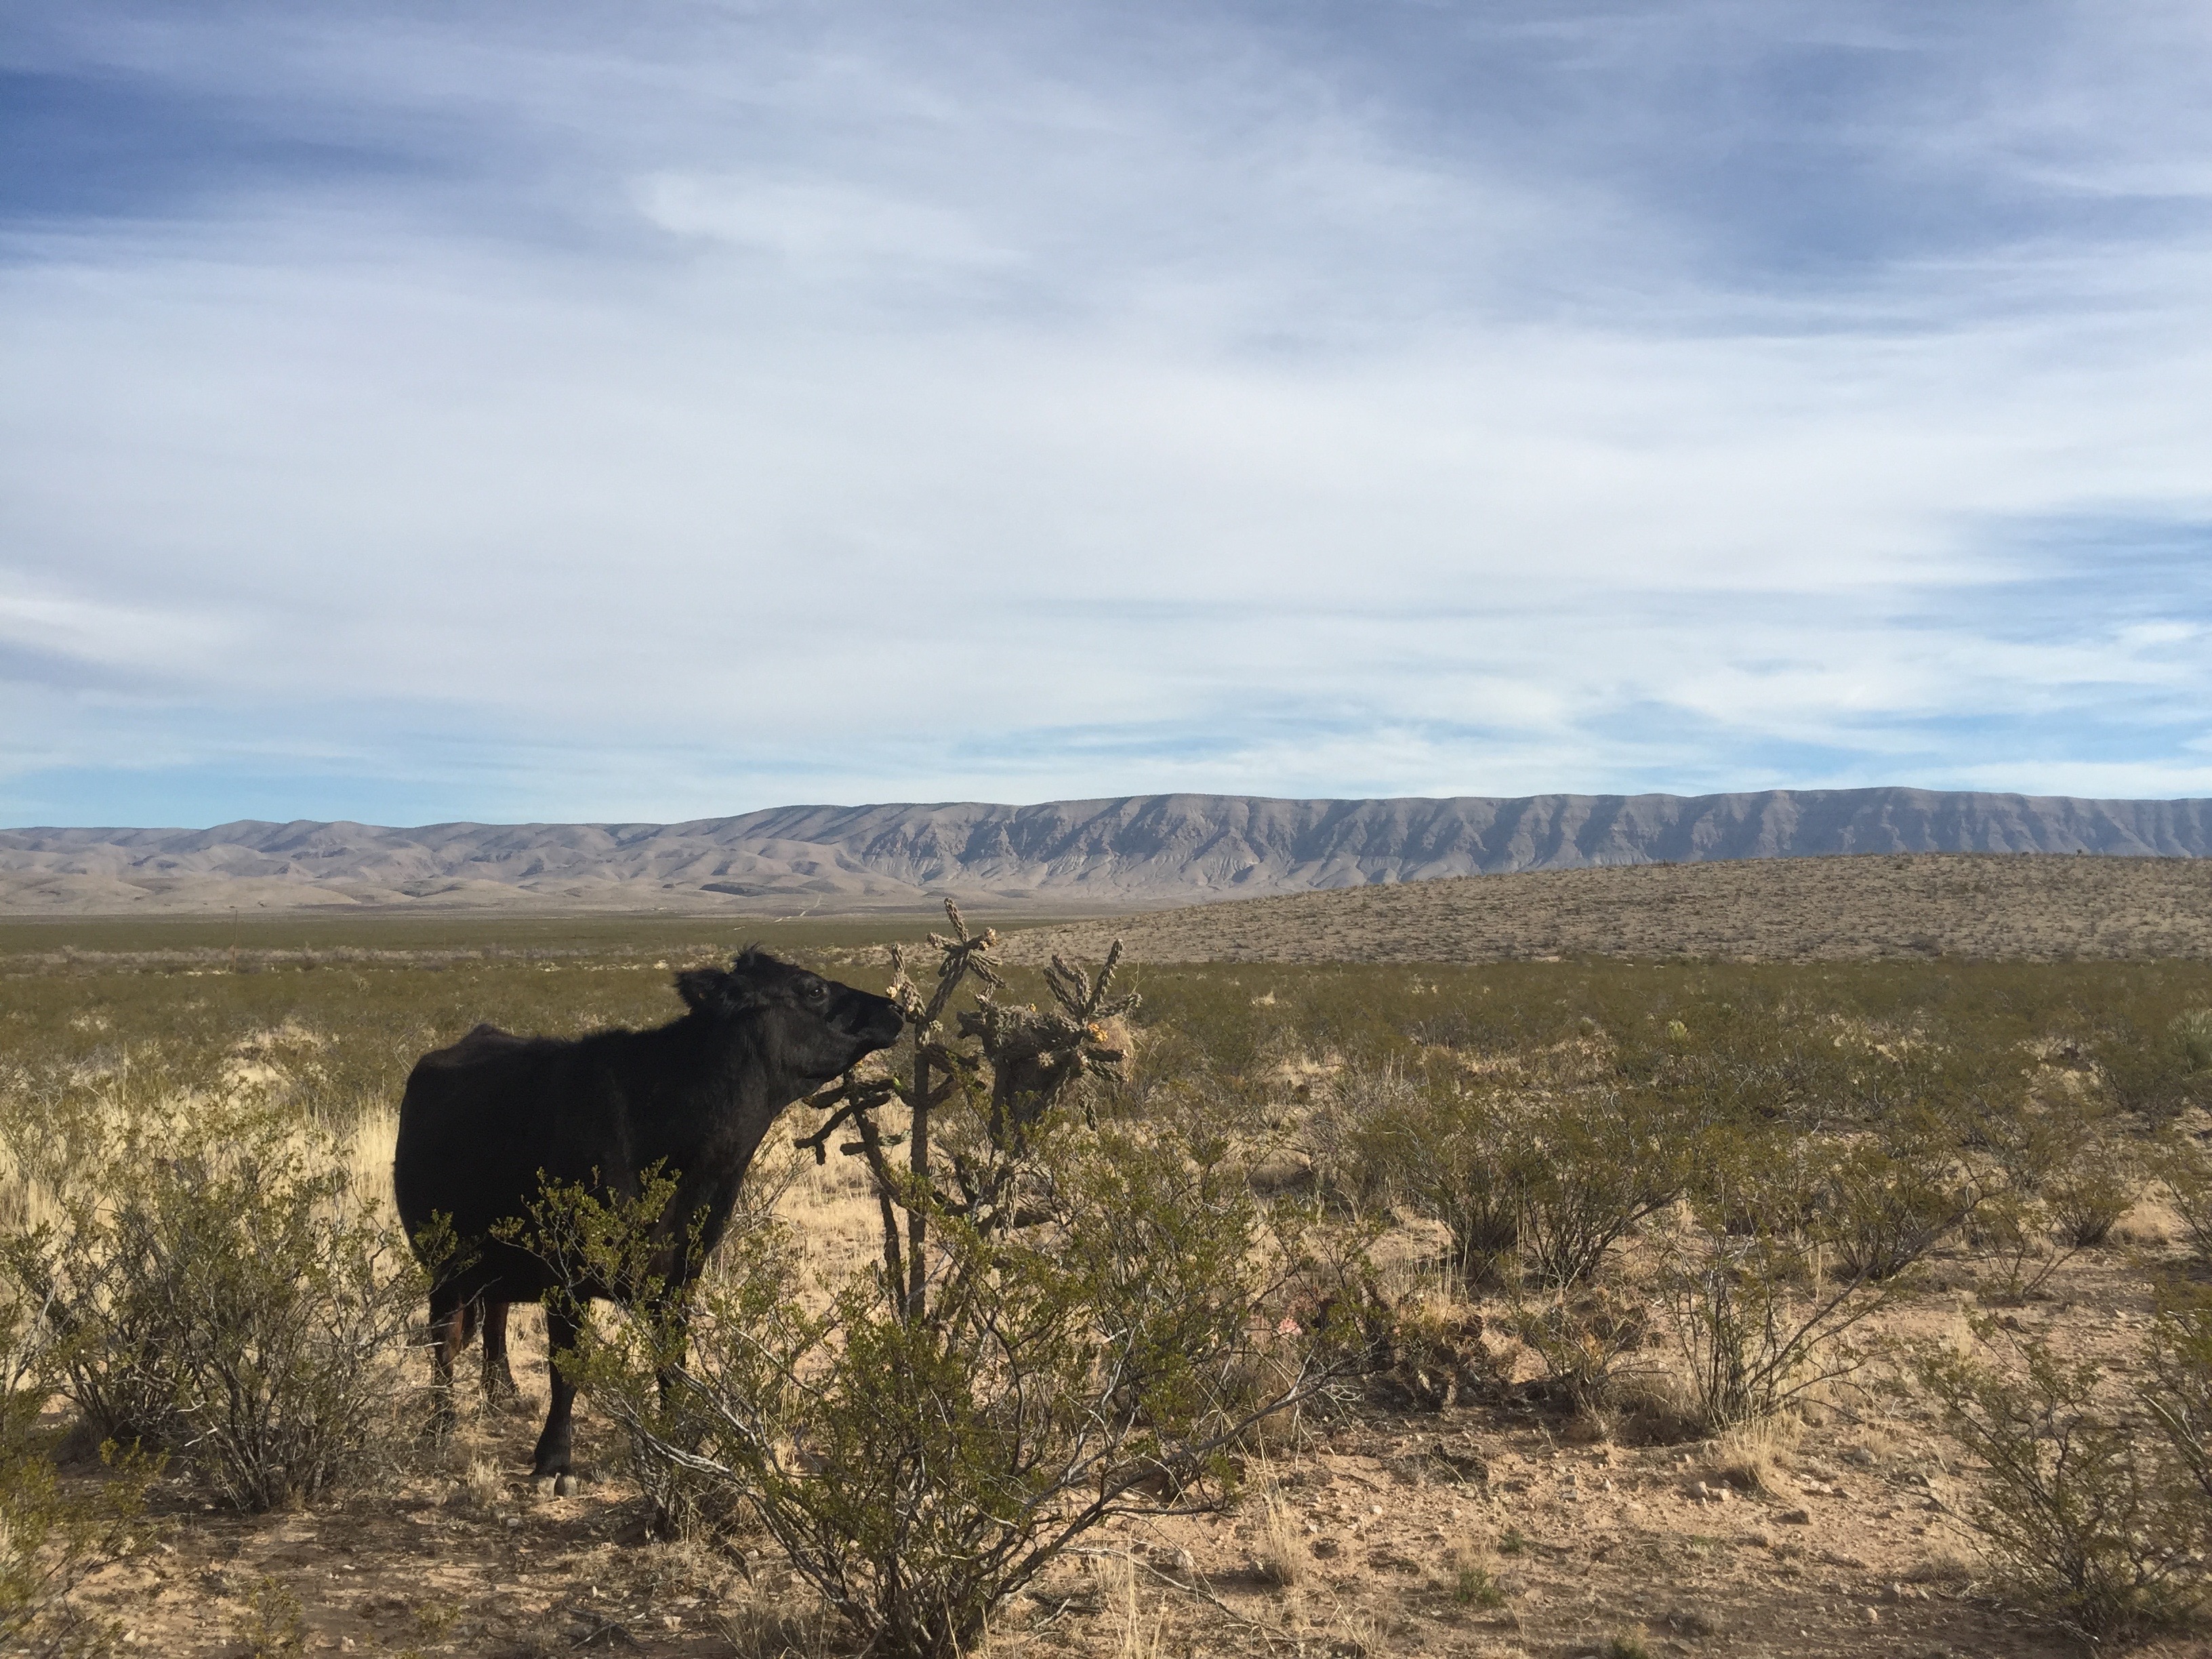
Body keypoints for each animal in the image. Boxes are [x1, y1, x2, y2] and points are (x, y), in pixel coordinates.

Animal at [393, 946, 902, 1477]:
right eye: (813, 989)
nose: (895, 1009)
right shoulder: (568, 1276)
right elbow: (566, 1368)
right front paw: (554, 1459)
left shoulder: (680, 1276)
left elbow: (672, 1367)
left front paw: (675, 1447)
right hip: (442, 1258)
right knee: (444, 1339)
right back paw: (440, 1423)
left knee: (494, 1315)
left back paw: (501, 1395)